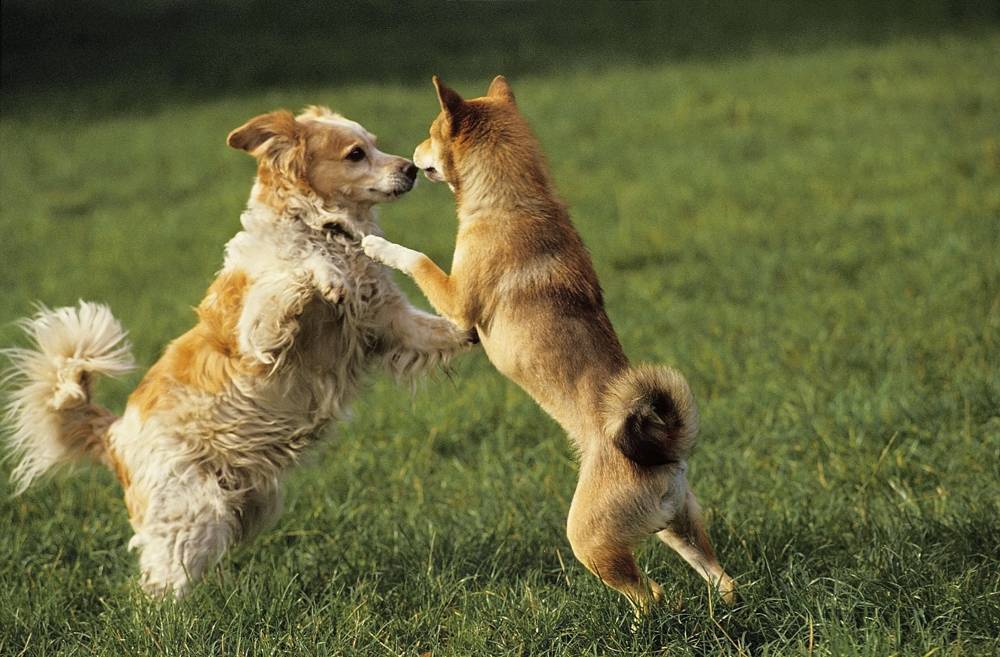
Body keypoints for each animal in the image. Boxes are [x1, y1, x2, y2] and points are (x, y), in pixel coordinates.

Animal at [364, 74, 740, 608]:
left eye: (431, 133)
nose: (413, 162)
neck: (511, 201)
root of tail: (664, 451)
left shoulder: (455, 303)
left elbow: (414, 257)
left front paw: (374, 245)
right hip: (679, 527)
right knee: (720, 578)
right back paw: (723, 610)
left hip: (590, 539)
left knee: (652, 594)